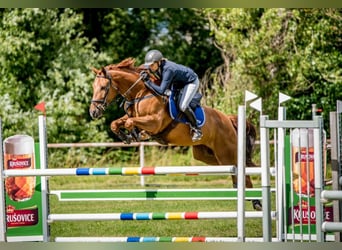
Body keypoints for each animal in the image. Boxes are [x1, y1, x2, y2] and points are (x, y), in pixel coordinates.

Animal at [89, 57, 262, 210]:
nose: (93, 112)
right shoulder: (132, 116)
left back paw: (256, 202)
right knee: (234, 171)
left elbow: (130, 122)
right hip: (208, 155)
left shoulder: (154, 121)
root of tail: (228, 119)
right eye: (93, 87)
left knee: (242, 170)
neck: (141, 93)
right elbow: (116, 123)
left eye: (103, 88)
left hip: (225, 152)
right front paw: (126, 136)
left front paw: (138, 134)